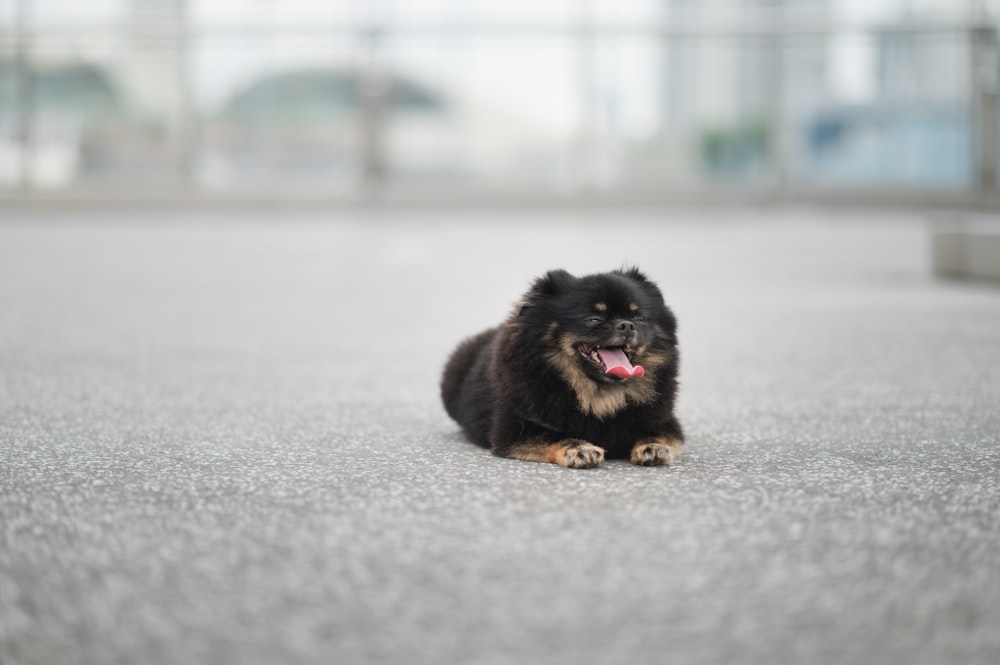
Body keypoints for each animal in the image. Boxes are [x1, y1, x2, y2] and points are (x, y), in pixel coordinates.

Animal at [442, 268, 684, 466]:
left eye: (638, 318)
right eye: (593, 319)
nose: (626, 325)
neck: (599, 395)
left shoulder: (665, 421)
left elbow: (654, 433)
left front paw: (653, 447)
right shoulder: (515, 429)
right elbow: (553, 436)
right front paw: (581, 449)